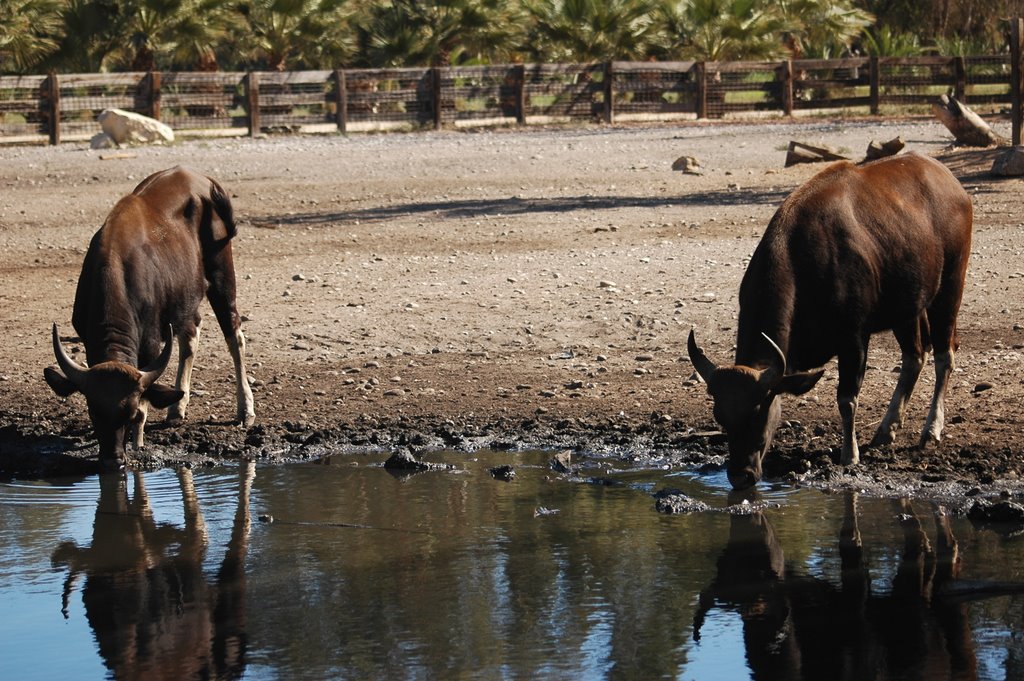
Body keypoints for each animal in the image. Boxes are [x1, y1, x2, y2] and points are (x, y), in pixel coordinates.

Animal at [45, 166, 256, 471]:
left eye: (129, 413)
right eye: (92, 411)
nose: (112, 461)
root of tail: (206, 181)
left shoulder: (152, 342)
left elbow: (146, 402)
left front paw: (138, 444)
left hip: (222, 274)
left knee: (234, 334)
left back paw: (245, 409)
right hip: (185, 298)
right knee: (191, 335)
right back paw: (177, 408)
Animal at [688, 151, 966, 485]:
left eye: (761, 409)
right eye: (720, 415)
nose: (741, 475)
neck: (804, 261)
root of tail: (949, 180)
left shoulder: (854, 338)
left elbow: (847, 399)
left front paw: (849, 455)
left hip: (950, 286)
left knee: (944, 355)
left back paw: (931, 429)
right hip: (908, 306)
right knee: (915, 355)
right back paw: (886, 430)